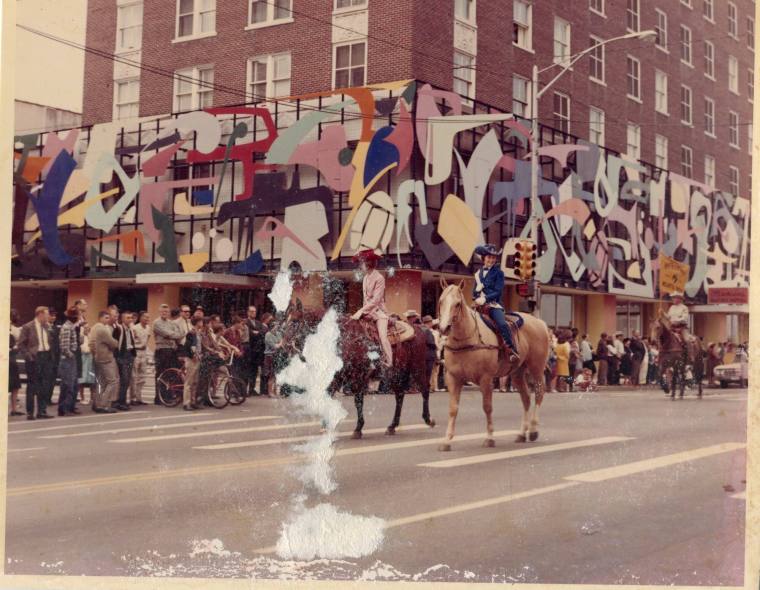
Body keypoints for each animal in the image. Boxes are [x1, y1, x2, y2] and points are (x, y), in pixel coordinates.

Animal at [280, 310, 436, 440]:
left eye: (295, 321)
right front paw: (326, 426)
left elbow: (358, 401)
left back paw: (428, 419)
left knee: (425, 389)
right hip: (396, 374)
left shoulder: (357, 376)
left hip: (417, 368)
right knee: (400, 395)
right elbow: (329, 395)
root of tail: (419, 330)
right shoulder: (337, 377)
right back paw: (392, 426)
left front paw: (358, 429)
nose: (283, 345)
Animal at [436, 282, 548, 454]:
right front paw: (447, 440)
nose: (443, 328)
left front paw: (489, 438)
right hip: (517, 373)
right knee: (526, 399)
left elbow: (487, 407)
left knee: (539, 394)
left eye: (458, 304)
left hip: (536, 368)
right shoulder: (453, 378)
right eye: (441, 301)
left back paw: (534, 430)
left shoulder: (486, 379)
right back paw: (522, 434)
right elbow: (453, 409)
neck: (466, 339)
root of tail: (539, 322)